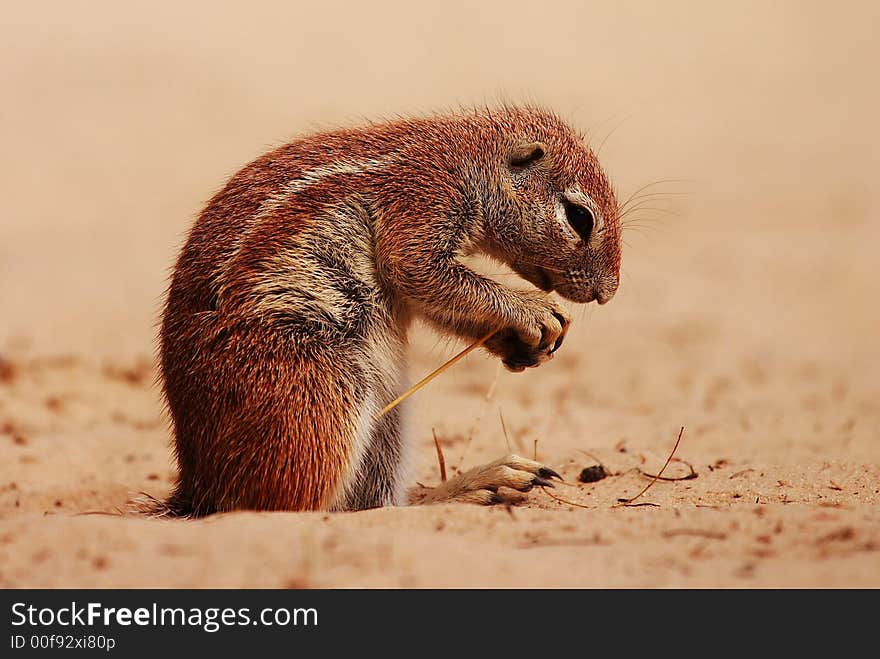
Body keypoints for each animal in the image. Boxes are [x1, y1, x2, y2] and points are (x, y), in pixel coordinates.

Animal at [150, 107, 620, 516]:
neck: (465, 160)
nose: (607, 293)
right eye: (579, 217)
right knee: (302, 505)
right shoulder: (422, 205)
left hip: (388, 417)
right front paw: (535, 311)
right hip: (320, 390)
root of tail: (198, 489)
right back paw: (471, 488)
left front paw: (518, 346)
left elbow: (442, 305)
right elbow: (422, 274)